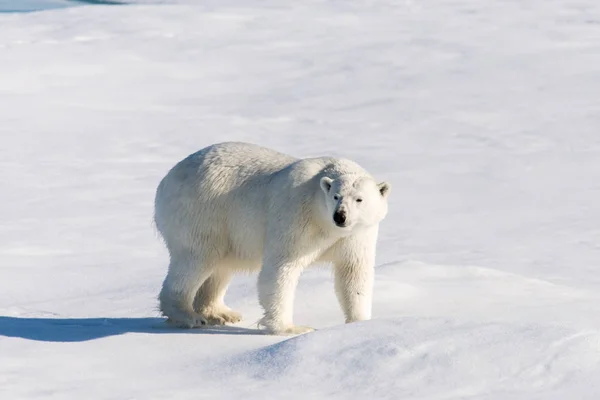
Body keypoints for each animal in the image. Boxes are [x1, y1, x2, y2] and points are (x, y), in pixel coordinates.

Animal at [155, 141, 390, 334]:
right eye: (335, 196)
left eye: (359, 199)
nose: (340, 216)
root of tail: (166, 180)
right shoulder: (297, 216)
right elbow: (281, 268)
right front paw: (292, 328)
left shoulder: (357, 236)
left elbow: (353, 274)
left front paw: (360, 323)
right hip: (201, 212)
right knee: (197, 258)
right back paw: (188, 316)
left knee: (221, 266)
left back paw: (220, 312)